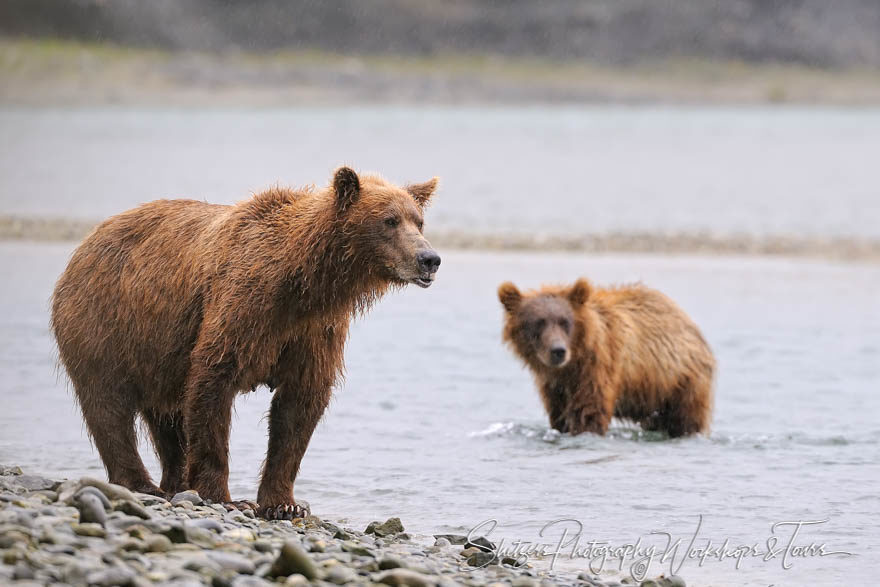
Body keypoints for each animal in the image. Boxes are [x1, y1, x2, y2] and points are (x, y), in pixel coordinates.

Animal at [51, 165, 444, 520]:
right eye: (389, 220)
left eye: (419, 221)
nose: (429, 259)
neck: (304, 282)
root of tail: (88, 240)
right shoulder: (244, 306)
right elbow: (212, 384)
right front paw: (225, 497)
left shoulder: (314, 332)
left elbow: (299, 408)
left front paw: (284, 503)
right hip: (104, 323)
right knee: (109, 406)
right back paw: (140, 483)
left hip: (156, 351)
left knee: (167, 420)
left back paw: (174, 484)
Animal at [498, 280, 712, 436]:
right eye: (538, 322)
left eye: (565, 322)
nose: (558, 350)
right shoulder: (554, 387)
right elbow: (559, 415)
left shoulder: (599, 366)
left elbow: (589, 410)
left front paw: (585, 429)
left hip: (679, 380)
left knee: (686, 418)